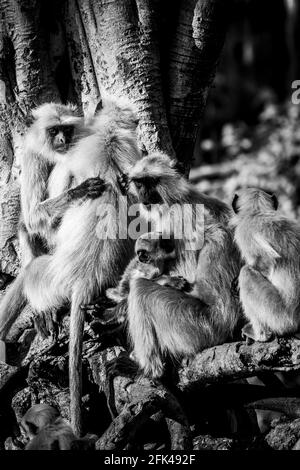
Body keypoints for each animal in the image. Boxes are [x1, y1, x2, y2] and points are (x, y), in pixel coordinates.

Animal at [0, 96, 141, 436]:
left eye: (67, 129)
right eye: (54, 132)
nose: (63, 141)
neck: (109, 136)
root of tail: (85, 278)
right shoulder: (33, 157)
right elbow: (32, 217)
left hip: (50, 276)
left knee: (28, 272)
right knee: (27, 225)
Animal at [232, 187, 300, 342]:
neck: (258, 211)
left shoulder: (244, 230)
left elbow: (265, 260)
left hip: (279, 315)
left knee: (246, 273)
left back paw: (261, 335)